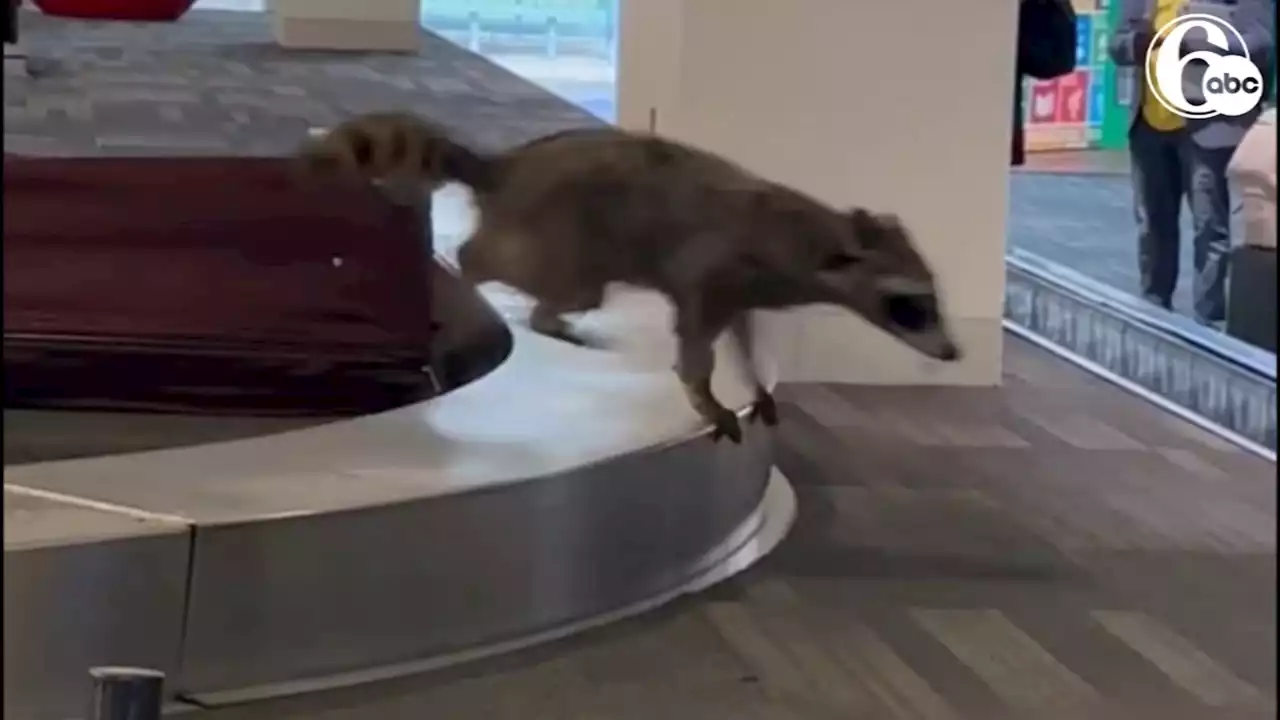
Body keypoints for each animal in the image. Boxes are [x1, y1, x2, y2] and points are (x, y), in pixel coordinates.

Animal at [299, 112, 962, 443]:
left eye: (930, 301)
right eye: (915, 306)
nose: (953, 352)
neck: (814, 239)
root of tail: (506, 167)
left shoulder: (749, 284)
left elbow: (743, 330)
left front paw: (755, 377)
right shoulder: (717, 266)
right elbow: (694, 341)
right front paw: (707, 394)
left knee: (565, 293)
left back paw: (541, 313)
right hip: (558, 229)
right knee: (521, 267)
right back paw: (472, 269)